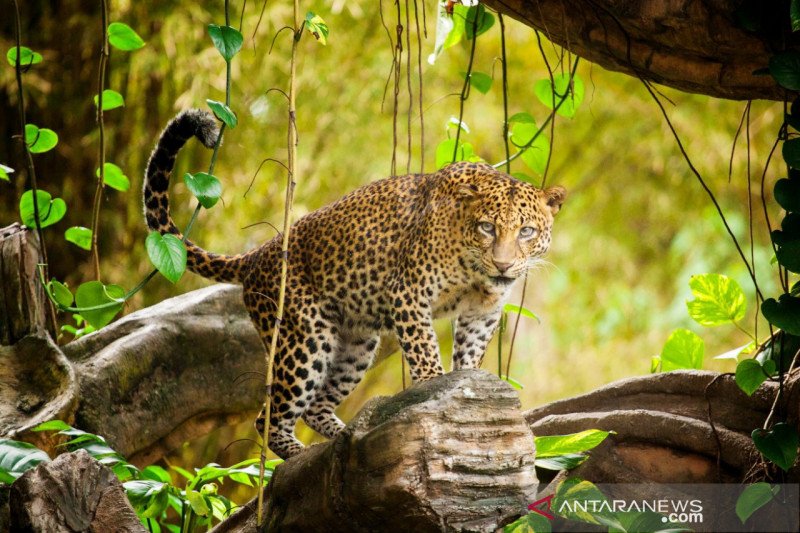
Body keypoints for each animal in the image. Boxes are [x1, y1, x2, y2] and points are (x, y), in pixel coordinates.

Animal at [145, 109, 568, 458]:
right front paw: (436, 396)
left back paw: (347, 440)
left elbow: (469, 356)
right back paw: (300, 455)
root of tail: (258, 254)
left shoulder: (483, 312)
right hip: (304, 337)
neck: (475, 270)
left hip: (356, 342)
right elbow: (426, 355)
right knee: (270, 416)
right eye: (487, 228)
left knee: (316, 407)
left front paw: (470, 399)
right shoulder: (409, 295)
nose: (504, 263)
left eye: (527, 232)